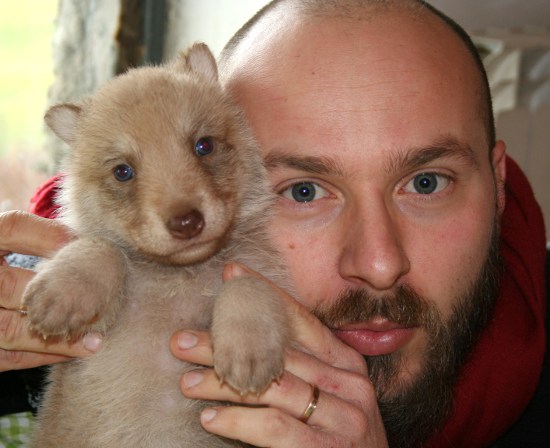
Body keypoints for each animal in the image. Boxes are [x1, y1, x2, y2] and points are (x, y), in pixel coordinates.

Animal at [21, 43, 292, 448]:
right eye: (123, 171)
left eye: (203, 145)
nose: (187, 222)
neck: (177, 279)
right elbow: (101, 247)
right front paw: (62, 293)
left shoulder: (264, 274)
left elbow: (247, 283)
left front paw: (249, 347)